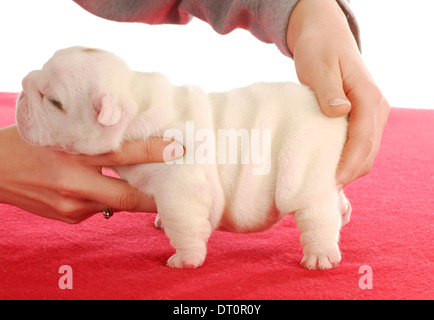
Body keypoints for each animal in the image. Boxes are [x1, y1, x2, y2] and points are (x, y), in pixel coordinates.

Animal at [15, 45, 350, 270]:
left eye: (54, 101)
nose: (20, 87)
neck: (136, 104)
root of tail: (322, 105)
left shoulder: (178, 185)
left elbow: (183, 222)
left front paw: (187, 258)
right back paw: (343, 210)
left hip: (302, 160)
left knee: (314, 209)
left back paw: (320, 254)